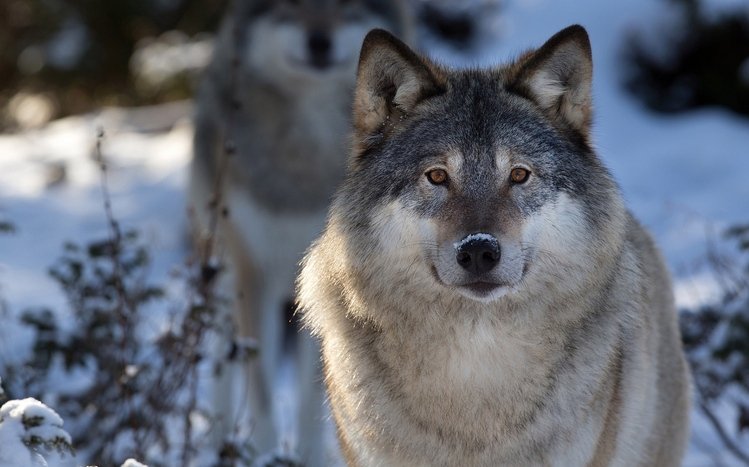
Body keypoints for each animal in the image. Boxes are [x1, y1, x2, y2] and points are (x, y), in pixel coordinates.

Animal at [189, 0, 411, 464]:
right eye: (289, 6)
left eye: (346, 7)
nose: (319, 41)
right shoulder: (252, 272)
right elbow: (260, 388)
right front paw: (265, 452)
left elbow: (316, 390)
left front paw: (310, 455)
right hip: (222, 273)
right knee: (222, 358)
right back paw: (218, 440)